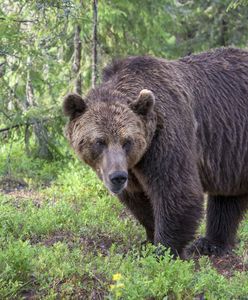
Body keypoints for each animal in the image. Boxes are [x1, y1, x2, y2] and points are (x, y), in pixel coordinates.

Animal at [63, 47, 248, 258]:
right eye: (100, 141)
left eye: (127, 141)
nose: (117, 177)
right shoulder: (134, 168)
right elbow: (139, 200)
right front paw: (149, 240)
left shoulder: (166, 139)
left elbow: (176, 191)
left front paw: (164, 250)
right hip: (231, 156)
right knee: (227, 198)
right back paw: (210, 243)